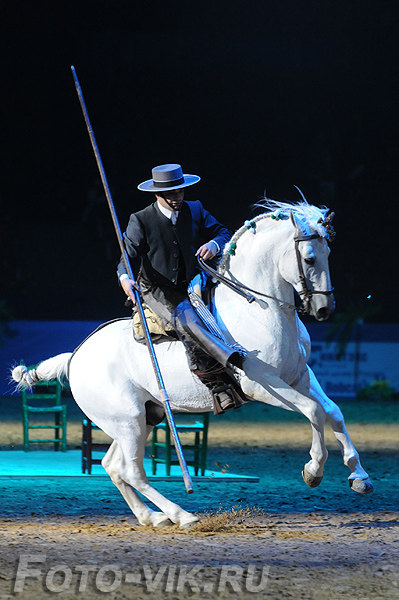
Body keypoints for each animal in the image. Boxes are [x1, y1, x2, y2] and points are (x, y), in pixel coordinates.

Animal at [13, 199, 376, 528]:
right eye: (310, 257)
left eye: (329, 254)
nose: (324, 309)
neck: (258, 310)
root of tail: (75, 356)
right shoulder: (261, 385)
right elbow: (313, 412)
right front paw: (313, 471)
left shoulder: (300, 375)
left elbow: (333, 412)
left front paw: (359, 476)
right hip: (127, 421)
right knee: (132, 470)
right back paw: (181, 515)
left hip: (143, 417)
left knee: (114, 466)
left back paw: (151, 517)